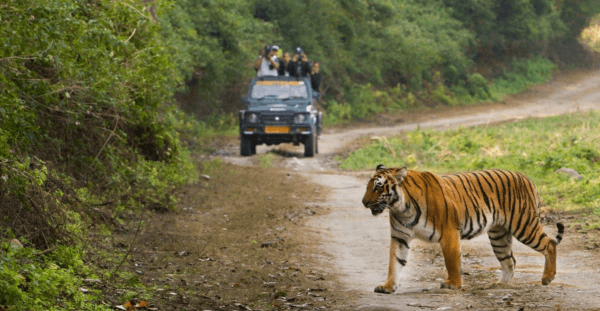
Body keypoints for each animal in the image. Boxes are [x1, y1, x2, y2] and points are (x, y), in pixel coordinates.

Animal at [364, 166, 564, 294]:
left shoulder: (449, 232)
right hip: (499, 235)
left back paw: (547, 278)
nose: (364, 202)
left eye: (378, 187)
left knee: (549, 244)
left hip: (524, 225)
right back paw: (499, 285)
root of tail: (527, 178)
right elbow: (395, 262)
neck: (401, 207)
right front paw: (388, 287)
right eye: (368, 186)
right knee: (510, 261)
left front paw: (453, 284)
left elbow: (452, 261)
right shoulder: (400, 237)